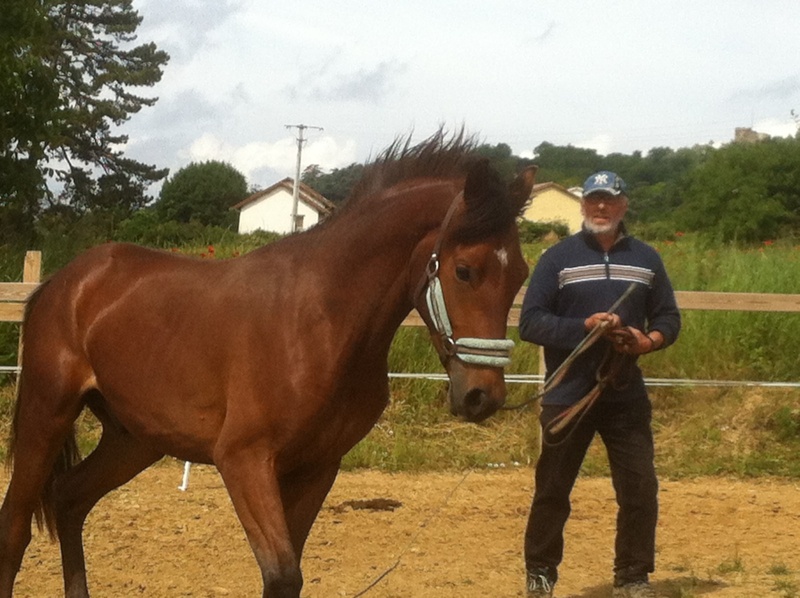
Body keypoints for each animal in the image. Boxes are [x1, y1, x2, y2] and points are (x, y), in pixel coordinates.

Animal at [0, 129, 536, 596]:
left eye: (521, 274)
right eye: (464, 271)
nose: (482, 395)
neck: (322, 320)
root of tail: (64, 282)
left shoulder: (317, 468)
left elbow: (288, 573)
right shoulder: (244, 459)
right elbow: (281, 574)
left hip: (134, 439)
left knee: (70, 499)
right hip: (48, 413)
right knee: (16, 526)